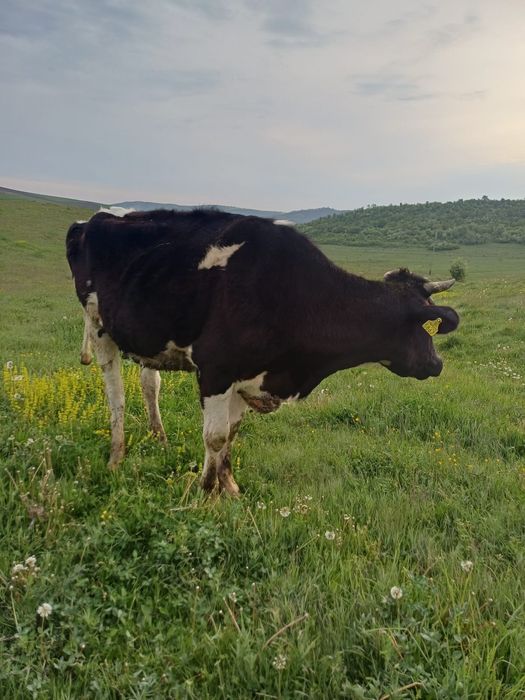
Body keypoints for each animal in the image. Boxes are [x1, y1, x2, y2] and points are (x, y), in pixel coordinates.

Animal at [66, 208, 459, 496]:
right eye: (426, 326)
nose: (437, 363)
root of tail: (95, 219)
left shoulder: (248, 375)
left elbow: (231, 433)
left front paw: (230, 488)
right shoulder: (216, 369)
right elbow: (215, 436)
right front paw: (205, 491)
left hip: (147, 339)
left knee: (151, 384)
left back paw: (158, 439)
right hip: (99, 326)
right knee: (115, 396)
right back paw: (116, 457)